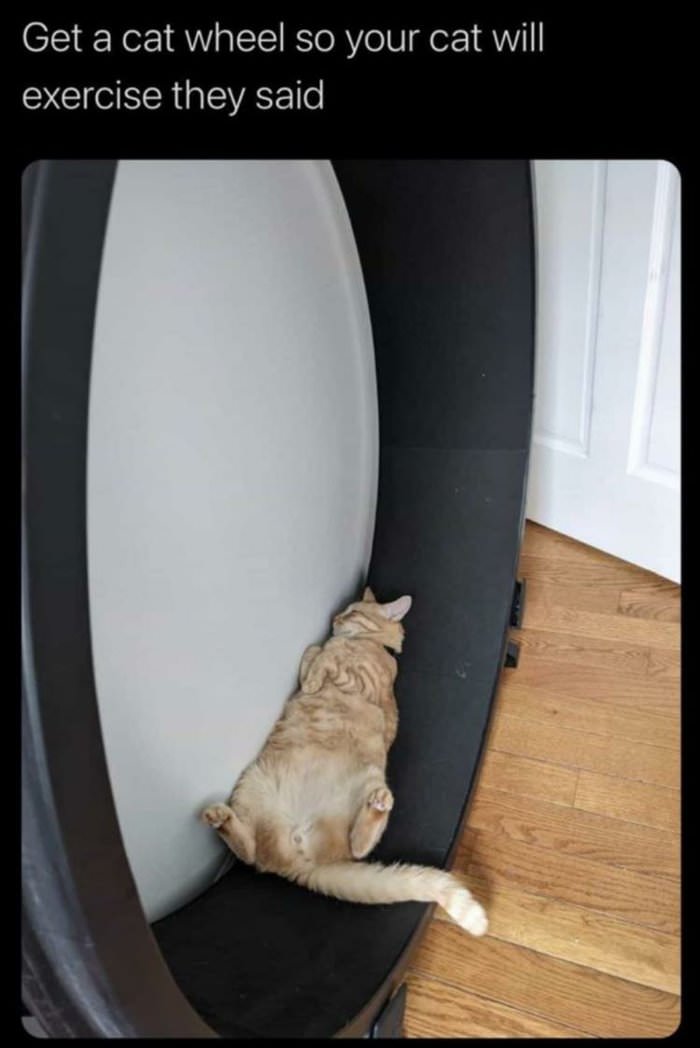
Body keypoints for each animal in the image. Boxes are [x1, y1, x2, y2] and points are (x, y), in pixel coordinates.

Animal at [201, 587, 488, 936]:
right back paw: (220, 818)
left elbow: (324, 659)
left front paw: (318, 670)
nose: (336, 617)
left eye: (353, 611)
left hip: (370, 779)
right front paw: (317, 661)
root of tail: (303, 865)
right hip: (252, 784)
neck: (368, 643)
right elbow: (315, 653)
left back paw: (378, 805)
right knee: (251, 850)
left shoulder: (358, 681)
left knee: (357, 847)